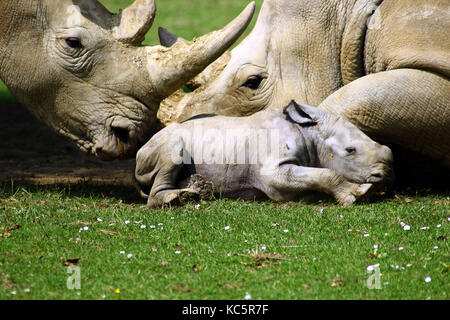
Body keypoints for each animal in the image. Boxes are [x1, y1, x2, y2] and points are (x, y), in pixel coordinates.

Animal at [134, 101, 394, 209]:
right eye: (350, 150)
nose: (385, 176)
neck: (310, 133)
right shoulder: (271, 173)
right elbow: (326, 174)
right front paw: (357, 194)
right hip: (161, 143)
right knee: (173, 148)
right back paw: (177, 199)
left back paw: (199, 190)